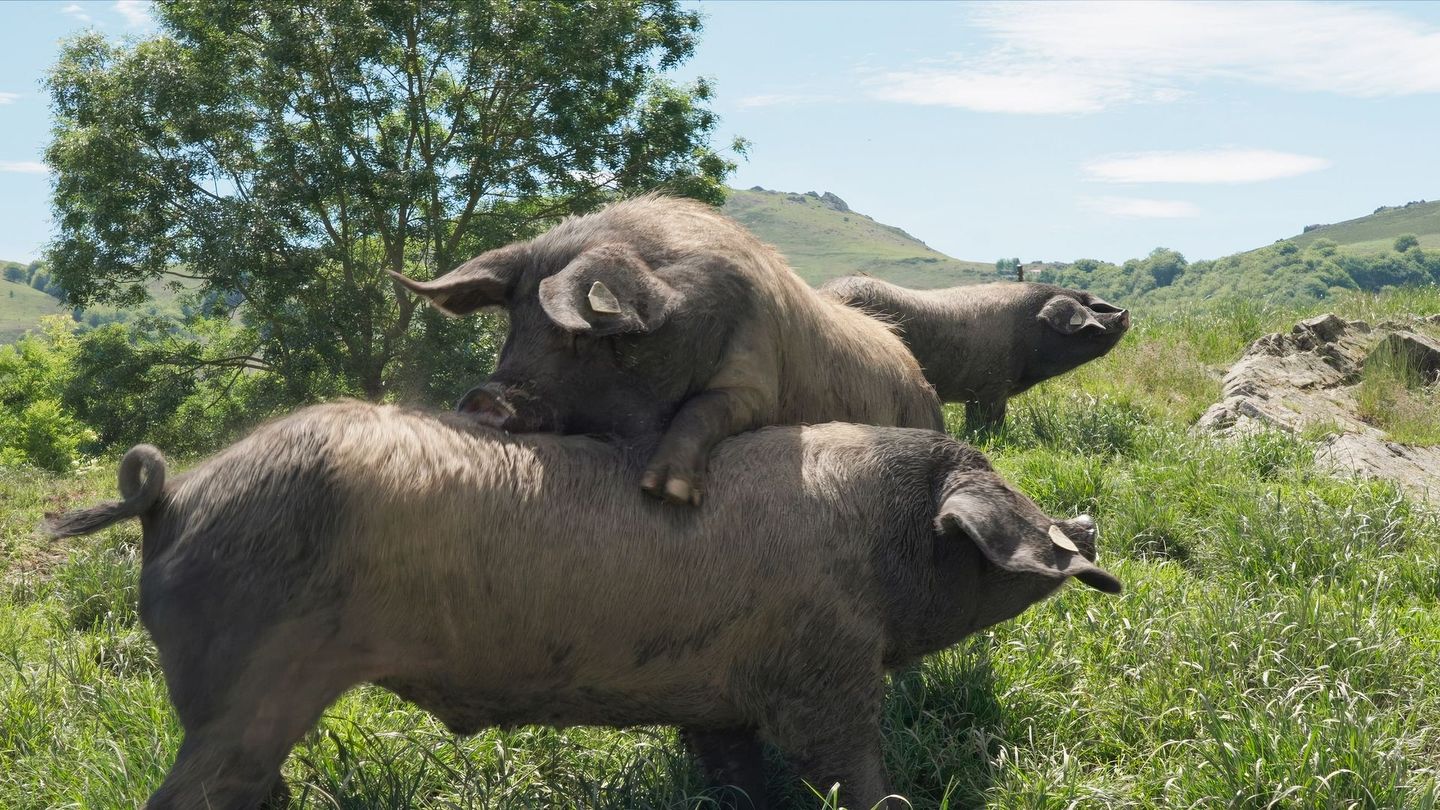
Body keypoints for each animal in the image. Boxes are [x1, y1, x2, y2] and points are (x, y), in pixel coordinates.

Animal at [47, 397, 1123, 807]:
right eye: (1001, 496)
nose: (1087, 530)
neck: (876, 540)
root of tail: (168, 498)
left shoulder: (720, 696)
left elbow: (734, 771)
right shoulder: (827, 668)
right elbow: (849, 765)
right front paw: (896, 801)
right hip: (243, 687)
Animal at [391, 191, 944, 501]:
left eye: (576, 333)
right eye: (514, 323)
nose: (483, 398)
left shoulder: (757, 379)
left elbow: (705, 407)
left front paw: (666, 492)